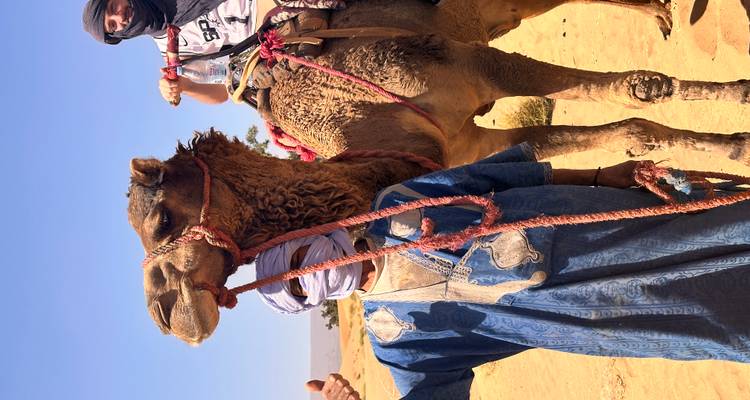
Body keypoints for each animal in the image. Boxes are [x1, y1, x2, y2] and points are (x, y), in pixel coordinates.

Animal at [252, 0, 750, 166]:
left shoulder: (472, 64)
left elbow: (634, 89)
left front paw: (741, 94)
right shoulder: (473, 145)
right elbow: (631, 131)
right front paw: (736, 147)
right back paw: (661, 14)